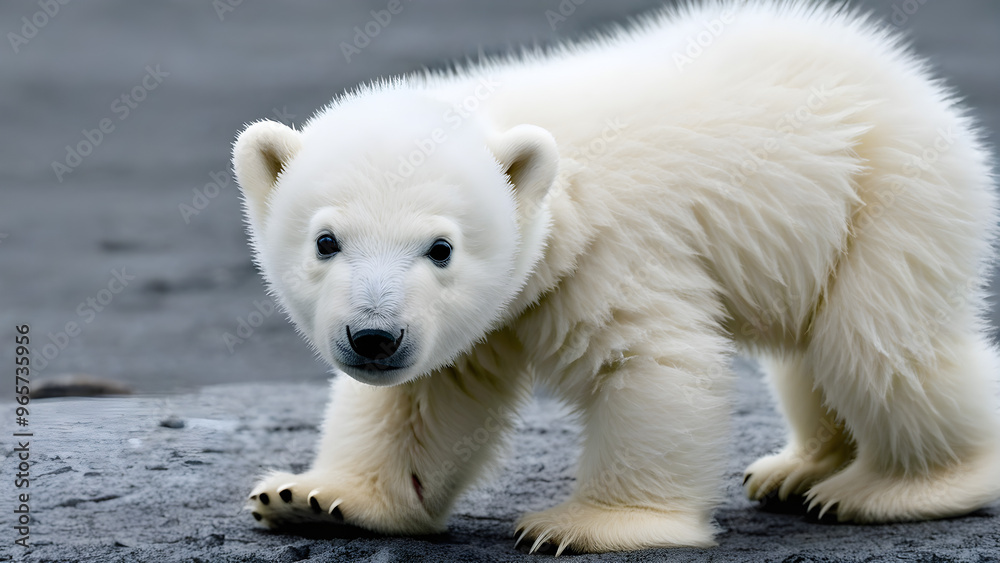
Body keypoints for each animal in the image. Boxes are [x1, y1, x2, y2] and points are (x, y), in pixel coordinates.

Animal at [232, 0, 1000, 554]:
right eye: (326, 241)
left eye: (441, 247)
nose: (374, 337)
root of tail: (909, 75)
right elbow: (426, 397)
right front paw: (315, 500)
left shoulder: (612, 249)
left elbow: (649, 362)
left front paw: (590, 525)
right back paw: (800, 467)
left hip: (886, 196)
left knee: (877, 348)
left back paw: (895, 487)